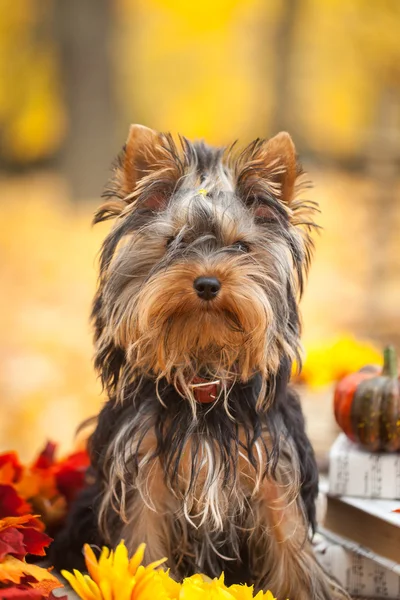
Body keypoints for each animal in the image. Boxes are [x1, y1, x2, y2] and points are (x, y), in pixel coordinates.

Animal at [52, 124, 346, 596]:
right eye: (174, 241)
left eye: (241, 247)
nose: (207, 282)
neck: (204, 381)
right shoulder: (142, 472)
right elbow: (142, 545)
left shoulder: (272, 464)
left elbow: (290, 539)